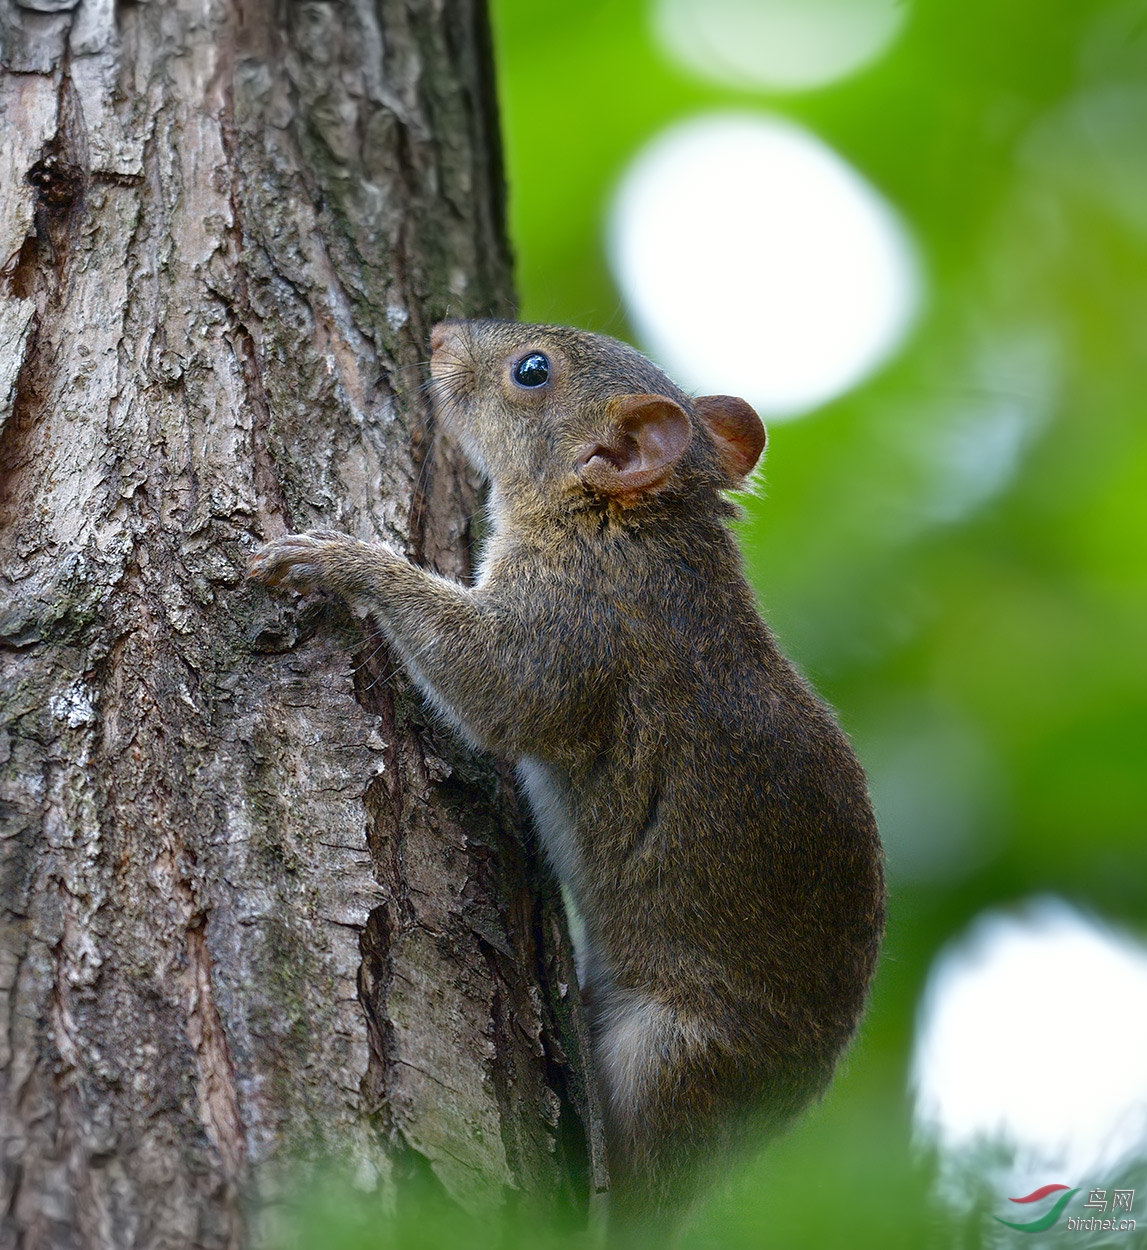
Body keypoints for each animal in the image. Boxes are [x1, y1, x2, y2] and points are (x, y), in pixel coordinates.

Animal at [248, 317, 889, 1235]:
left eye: (531, 372)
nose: (438, 333)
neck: (628, 526)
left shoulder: (575, 627)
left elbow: (496, 690)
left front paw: (346, 562)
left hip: (673, 1055)